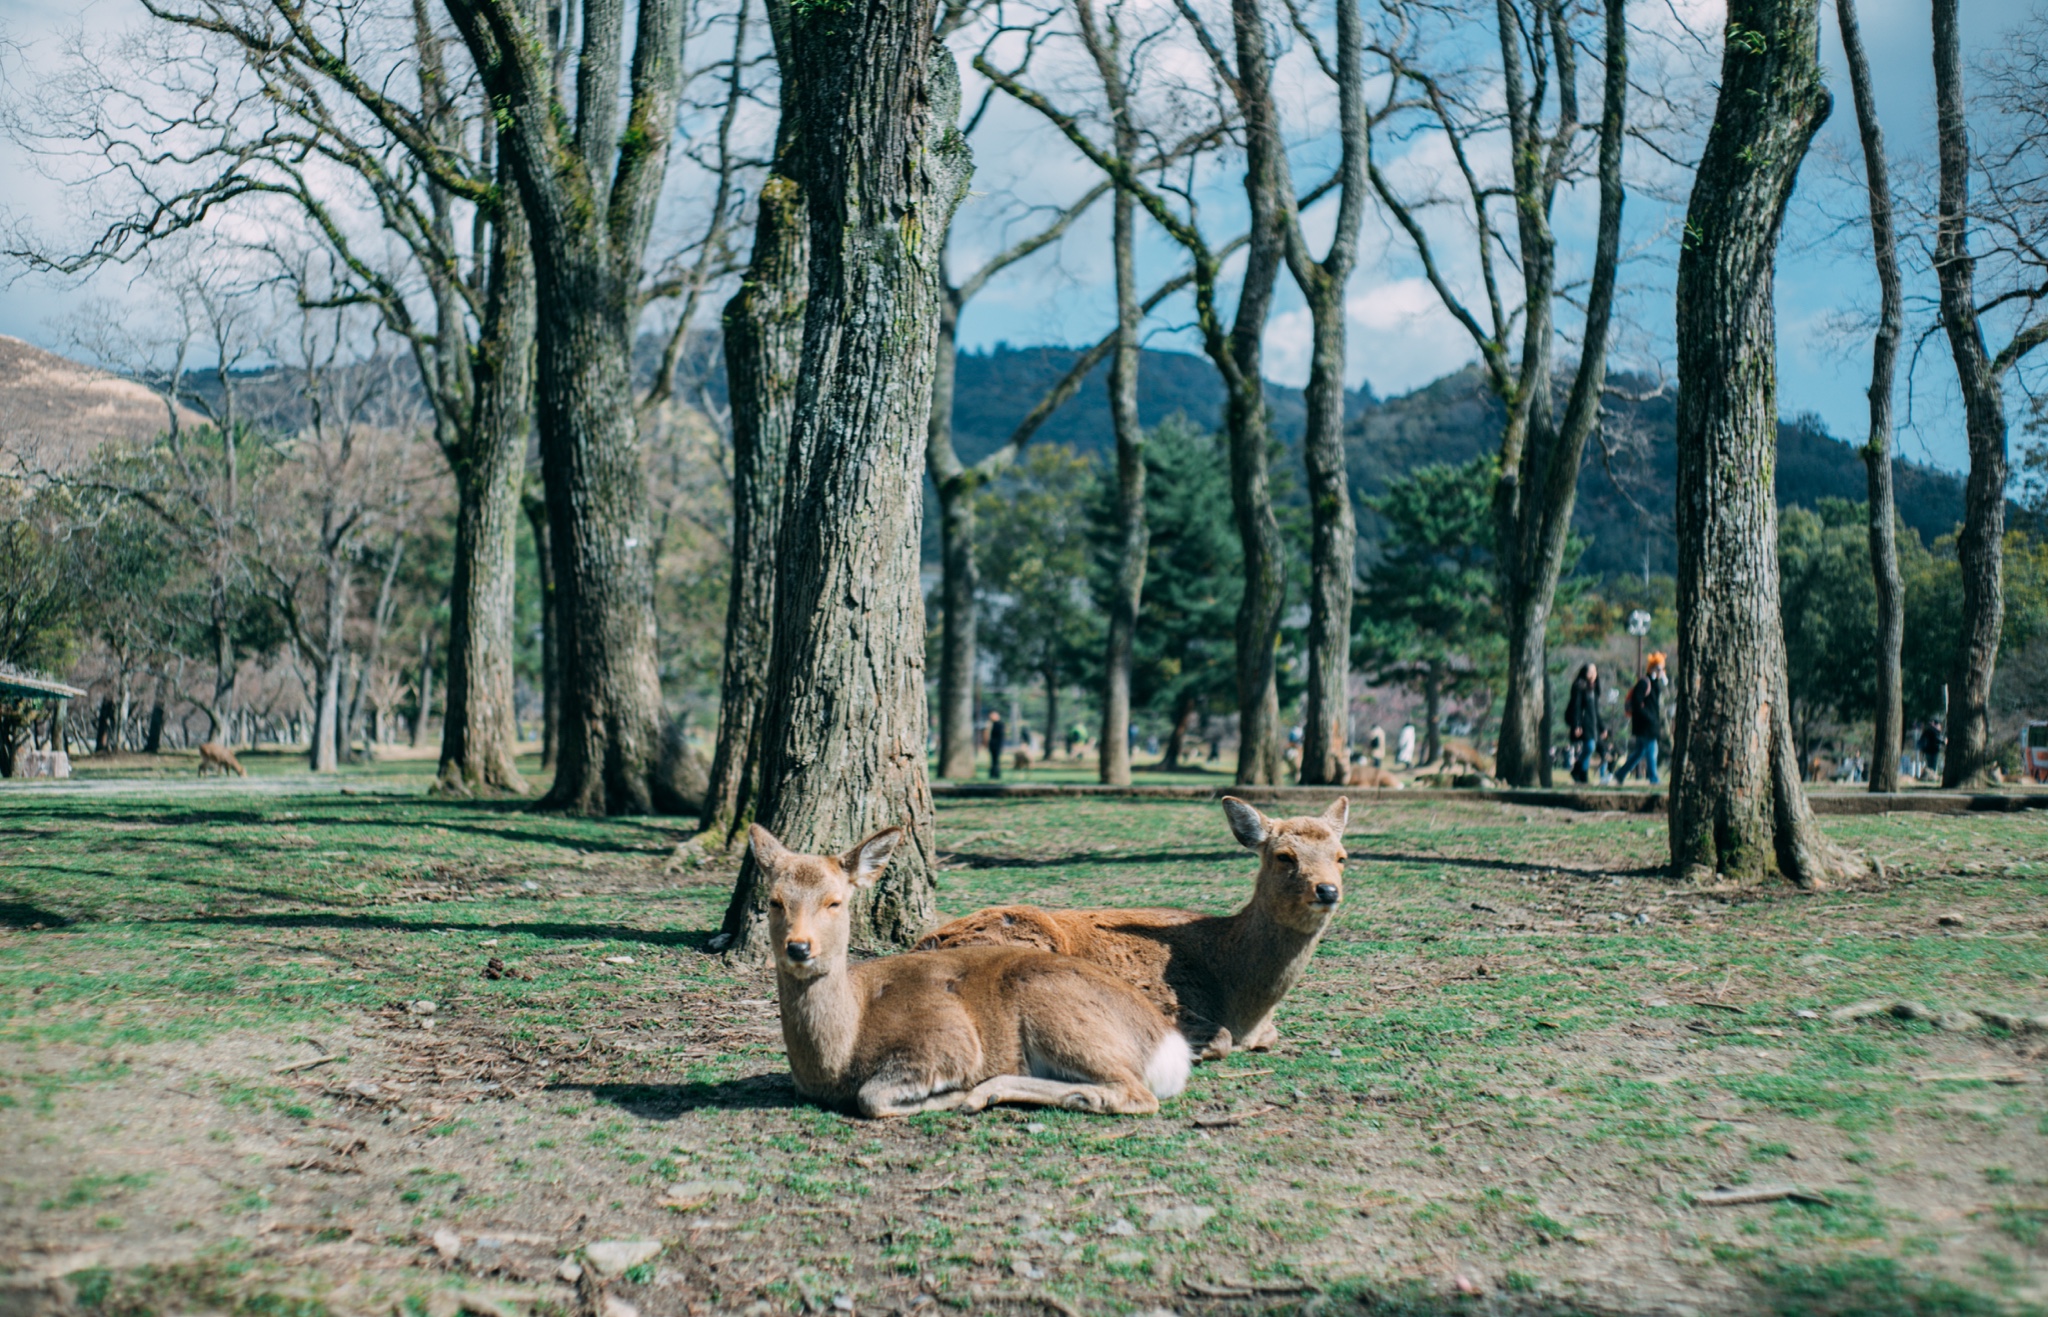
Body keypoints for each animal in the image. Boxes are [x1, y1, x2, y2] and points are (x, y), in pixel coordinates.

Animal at [749, 823, 1196, 1122]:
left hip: (1059, 1014)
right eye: (774, 901)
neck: (837, 1057)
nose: (799, 947)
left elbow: (871, 1098)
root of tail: (1171, 1047)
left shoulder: (946, 1041)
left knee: (1137, 1093)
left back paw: (984, 1094)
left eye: (835, 901)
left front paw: (952, 1095)